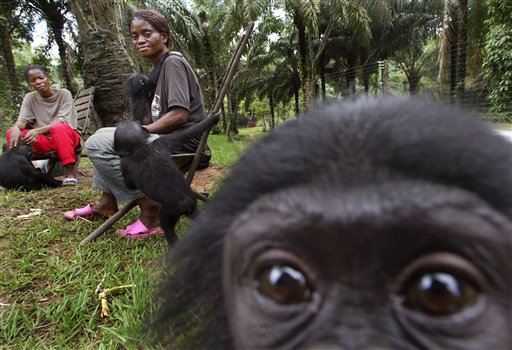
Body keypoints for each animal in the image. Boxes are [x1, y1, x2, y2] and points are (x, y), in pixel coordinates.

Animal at [113, 113, 219, 245]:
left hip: (170, 212)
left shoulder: (125, 163)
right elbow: (185, 135)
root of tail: (186, 202)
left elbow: (129, 185)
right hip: (193, 207)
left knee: (167, 228)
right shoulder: (162, 142)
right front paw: (213, 119)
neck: (140, 148)